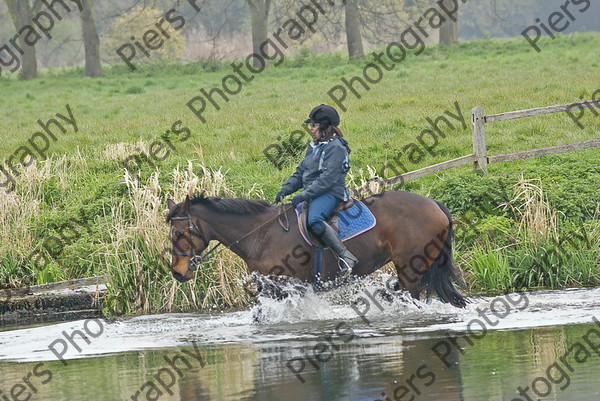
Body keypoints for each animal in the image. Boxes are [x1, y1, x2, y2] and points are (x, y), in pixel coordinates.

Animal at [165, 190, 468, 306]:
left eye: (179, 233)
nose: (177, 272)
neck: (260, 234)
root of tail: (434, 204)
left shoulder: (283, 287)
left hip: (410, 271)